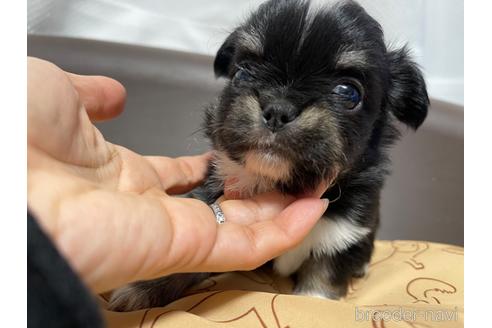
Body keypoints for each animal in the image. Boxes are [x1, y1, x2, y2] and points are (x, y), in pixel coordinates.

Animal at [109, 0, 428, 312]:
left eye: (348, 93)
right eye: (243, 72)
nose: (278, 109)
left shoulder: (341, 233)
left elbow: (323, 277)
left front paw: (315, 301)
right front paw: (142, 287)